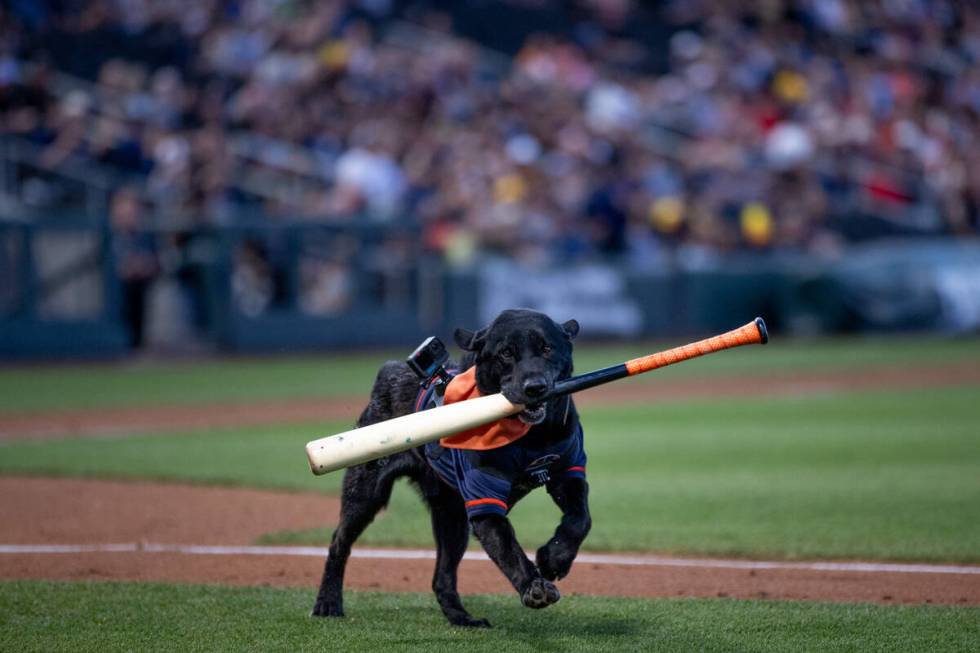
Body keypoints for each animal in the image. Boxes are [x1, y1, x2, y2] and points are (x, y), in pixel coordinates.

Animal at [312, 310, 588, 628]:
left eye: (547, 348)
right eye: (506, 353)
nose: (535, 387)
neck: (532, 439)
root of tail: (390, 371)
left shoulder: (569, 474)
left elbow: (580, 520)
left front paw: (555, 558)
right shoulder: (484, 504)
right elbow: (509, 550)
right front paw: (534, 587)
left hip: (451, 517)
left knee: (442, 576)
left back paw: (463, 618)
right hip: (366, 494)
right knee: (339, 542)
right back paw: (328, 603)